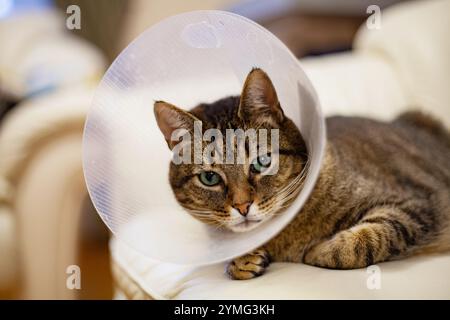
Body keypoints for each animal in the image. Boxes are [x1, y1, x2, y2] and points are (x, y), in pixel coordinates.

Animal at [155, 68, 450, 280]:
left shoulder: (413, 205)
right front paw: (241, 260)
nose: (242, 206)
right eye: (210, 178)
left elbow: (365, 241)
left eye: (262, 162)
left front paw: (317, 250)